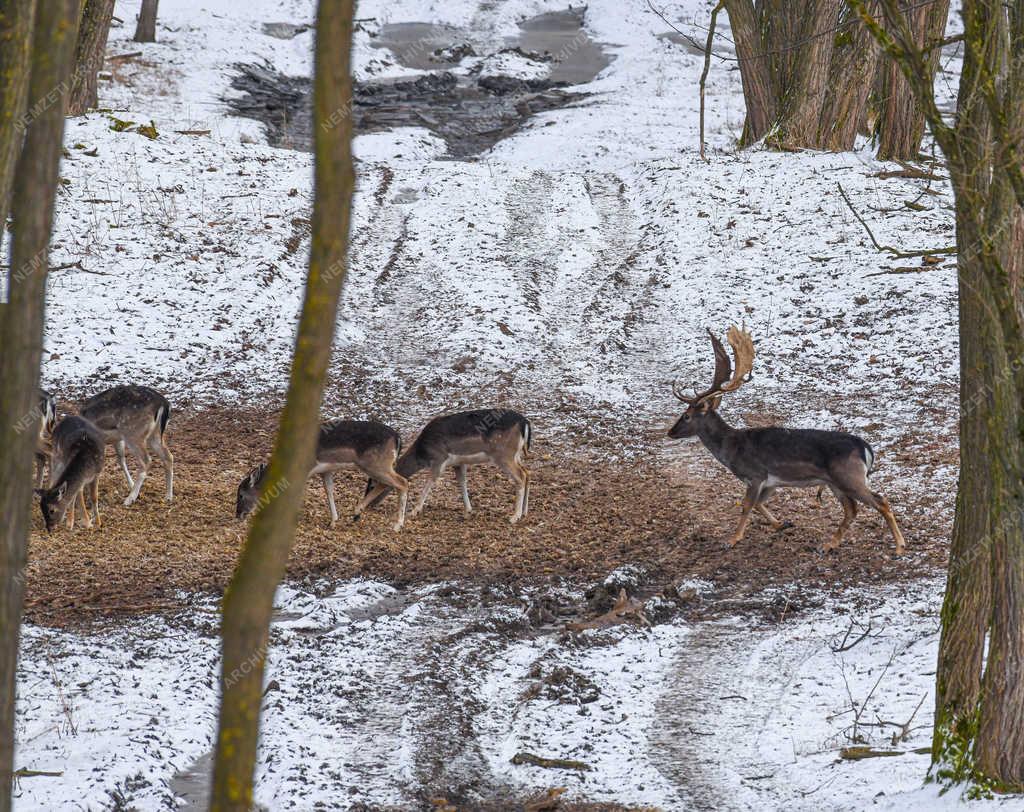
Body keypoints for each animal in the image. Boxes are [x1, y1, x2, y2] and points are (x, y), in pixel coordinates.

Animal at [237, 421, 409, 528]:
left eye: (241, 495)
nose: (238, 515)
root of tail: (398, 438)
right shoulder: (325, 470)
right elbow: (329, 491)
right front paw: (333, 521)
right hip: (378, 465)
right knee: (387, 483)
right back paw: (356, 511)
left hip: (376, 464)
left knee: (402, 482)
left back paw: (397, 525)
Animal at [671, 325, 905, 552]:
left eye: (686, 416)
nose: (670, 432)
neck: (732, 448)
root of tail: (865, 447)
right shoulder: (771, 482)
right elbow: (758, 504)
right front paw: (781, 524)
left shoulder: (755, 474)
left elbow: (746, 505)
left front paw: (732, 540)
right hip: (835, 482)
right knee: (851, 509)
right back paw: (828, 545)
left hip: (849, 476)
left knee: (880, 500)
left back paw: (899, 547)